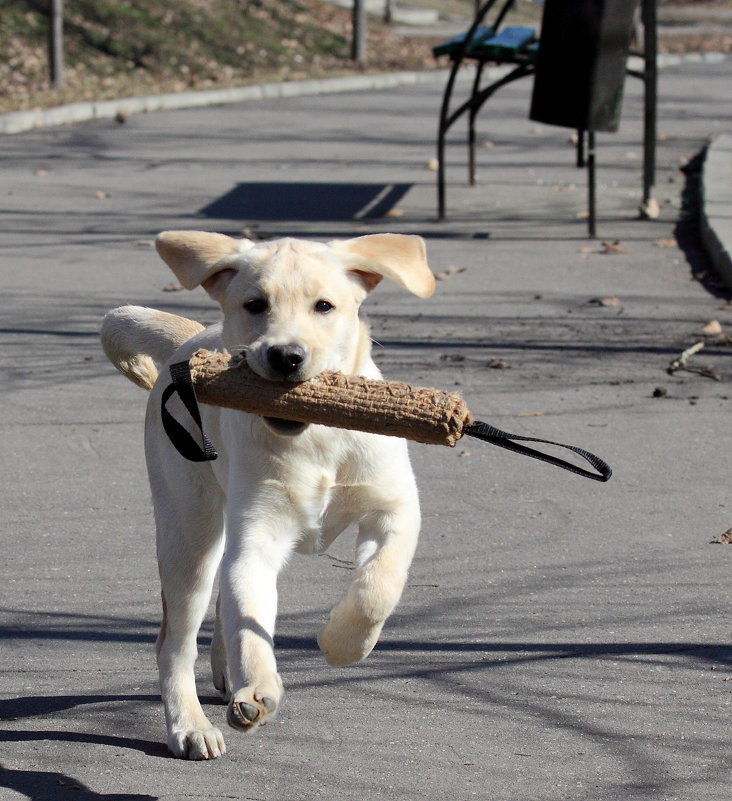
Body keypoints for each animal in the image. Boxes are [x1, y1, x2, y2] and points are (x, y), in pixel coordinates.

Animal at [103, 230, 434, 756]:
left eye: (325, 306)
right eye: (255, 304)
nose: (285, 356)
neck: (318, 434)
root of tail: (191, 341)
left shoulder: (394, 510)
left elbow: (378, 587)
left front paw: (340, 643)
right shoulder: (257, 538)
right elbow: (250, 620)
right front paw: (257, 688)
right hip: (188, 533)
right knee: (175, 640)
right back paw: (190, 725)